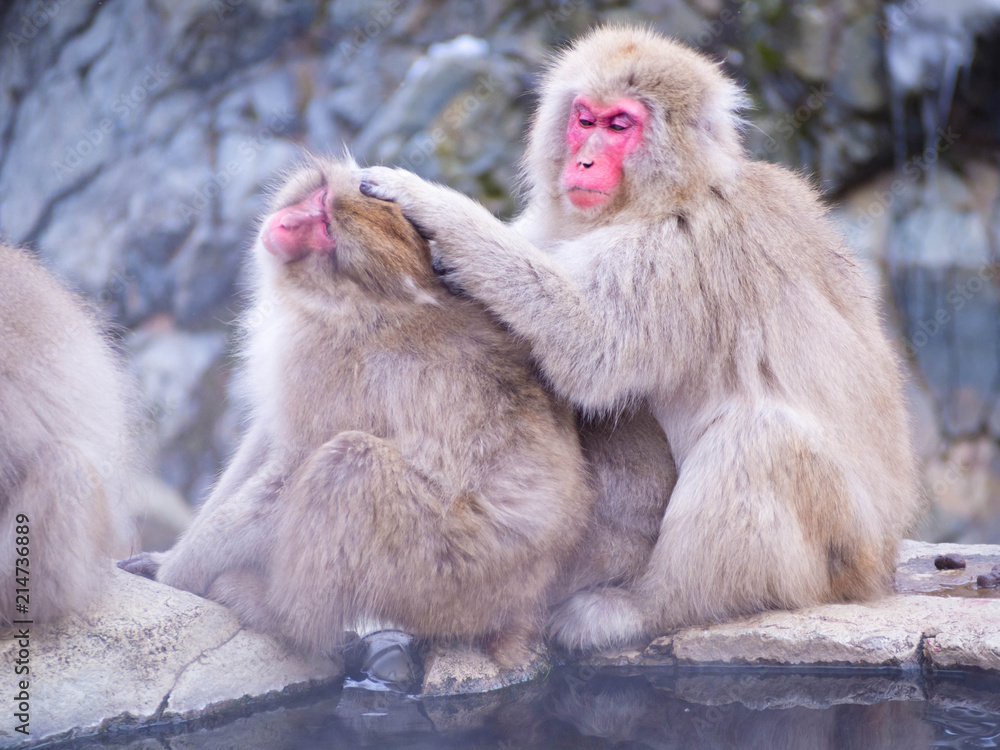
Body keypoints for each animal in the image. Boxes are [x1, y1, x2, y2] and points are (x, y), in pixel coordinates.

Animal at [120, 156, 592, 664]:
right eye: (320, 202)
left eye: (326, 229)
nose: (286, 224)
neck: (356, 302)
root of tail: (530, 597)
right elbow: (265, 444)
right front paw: (171, 555)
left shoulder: (319, 358)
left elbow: (287, 473)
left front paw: (177, 572)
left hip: (459, 570)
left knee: (349, 465)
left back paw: (284, 618)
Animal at [359, 25, 923, 651]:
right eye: (584, 119)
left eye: (619, 126)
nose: (583, 160)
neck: (665, 196)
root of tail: (881, 565)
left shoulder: (686, 245)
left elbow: (591, 345)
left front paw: (428, 201)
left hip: (839, 552)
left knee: (760, 438)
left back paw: (648, 608)